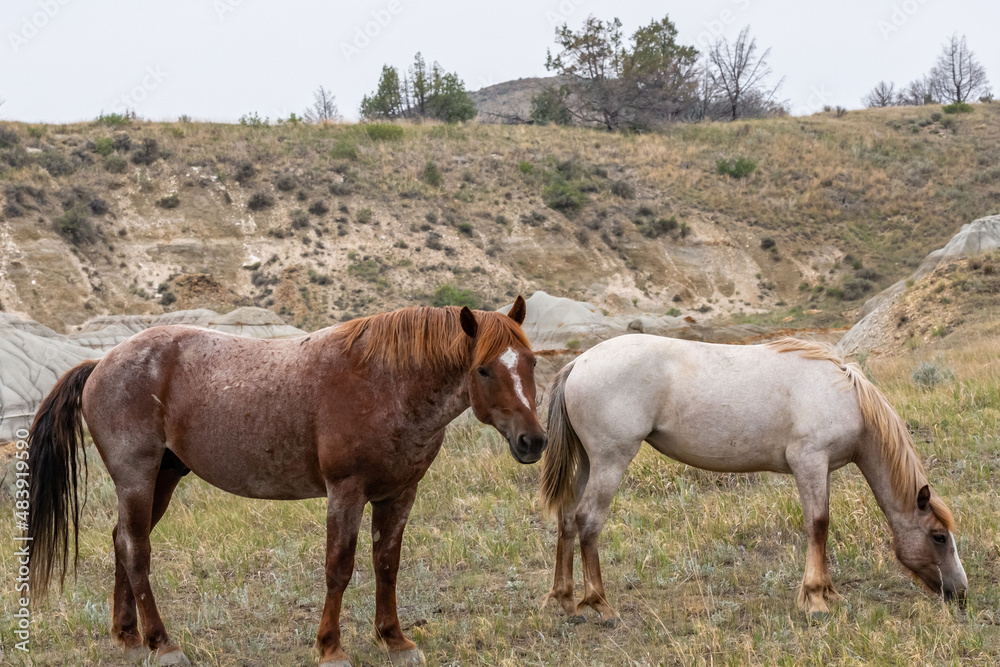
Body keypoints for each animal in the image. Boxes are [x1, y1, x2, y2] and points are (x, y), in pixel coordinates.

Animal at [29, 298, 548, 667]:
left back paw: (130, 638)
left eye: (531, 363)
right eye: (484, 368)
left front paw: (395, 640)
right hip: (137, 479)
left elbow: (387, 564)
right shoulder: (346, 492)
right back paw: (163, 644)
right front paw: (331, 648)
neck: (385, 383)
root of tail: (100, 363)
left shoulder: (399, 494)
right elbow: (339, 567)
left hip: (163, 479)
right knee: (137, 551)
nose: (533, 441)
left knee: (122, 542)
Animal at [540, 336, 968, 624]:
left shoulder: (821, 469)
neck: (845, 396)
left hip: (588, 464)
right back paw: (601, 605)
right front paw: (815, 599)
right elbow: (818, 524)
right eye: (938, 537)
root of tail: (579, 363)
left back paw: (565, 600)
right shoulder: (809, 462)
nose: (960, 593)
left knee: (566, 519)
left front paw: (829, 593)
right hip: (610, 461)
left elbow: (821, 528)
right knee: (588, 522)